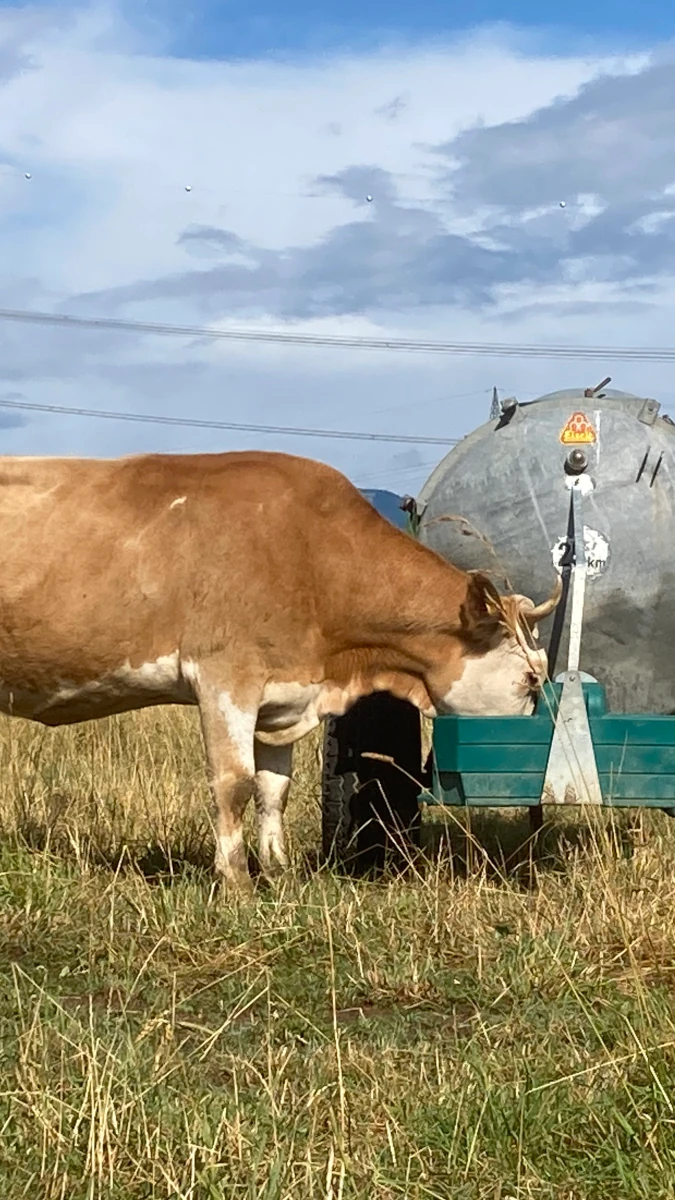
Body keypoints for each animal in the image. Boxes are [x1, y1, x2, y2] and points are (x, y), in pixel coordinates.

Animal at [0, 449, 560, 891]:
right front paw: (237, 884)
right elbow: (234, 784)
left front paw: (279, 874)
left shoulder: (283, 698)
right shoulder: (225, 679)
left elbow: (274, 789)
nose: (538, 786)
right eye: (531, 678)